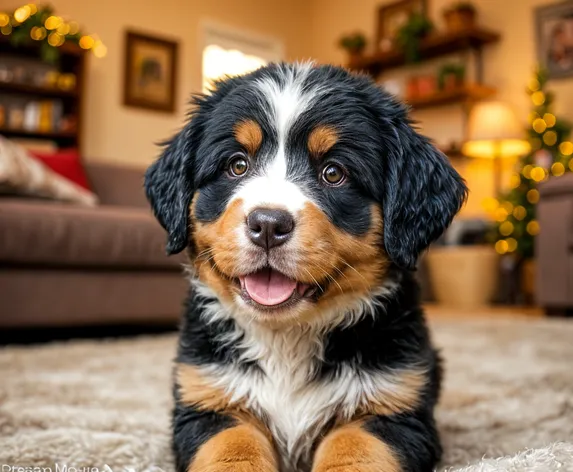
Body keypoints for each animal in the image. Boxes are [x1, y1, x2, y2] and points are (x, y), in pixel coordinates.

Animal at [145, 62, 466, 472]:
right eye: (237, 165)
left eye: (333, 172)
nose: (268, 224)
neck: (286, 340)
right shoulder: (208, 399)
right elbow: (231, 448)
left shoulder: (394, 407)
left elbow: (357, 451)